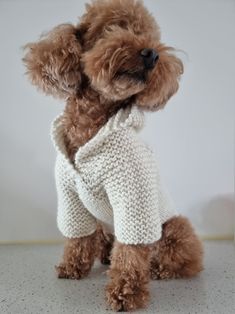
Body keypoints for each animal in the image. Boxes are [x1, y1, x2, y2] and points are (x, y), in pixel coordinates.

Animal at [24, 0, 204, 312]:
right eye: (114, 28)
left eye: (149, 36)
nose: (152, 53)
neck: (91, 128)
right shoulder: (70, 196)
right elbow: (78, 236)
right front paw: (72, 267)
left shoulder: (132, 196)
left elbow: (131, 251)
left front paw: (125, 293)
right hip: (105, 226)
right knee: (103, 240)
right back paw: (106, 256)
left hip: (173, 227)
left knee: (183, 257)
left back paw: (159, 268)